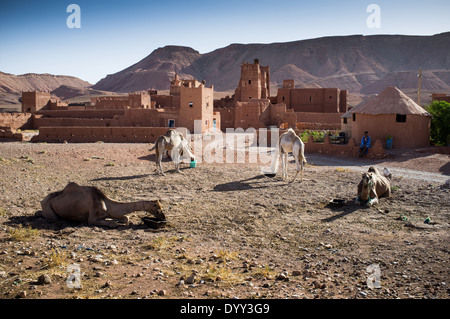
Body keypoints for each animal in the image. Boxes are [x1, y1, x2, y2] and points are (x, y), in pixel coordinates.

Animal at [35, 182, 165, 228]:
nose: (164, 217)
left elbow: (125, 217)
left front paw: (120, 220)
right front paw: (114, 222)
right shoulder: (92, 218)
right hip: (47, 205)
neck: (106, 202)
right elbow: (112, 224)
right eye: (158, 209)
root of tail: (43, 199)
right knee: (52, 216)